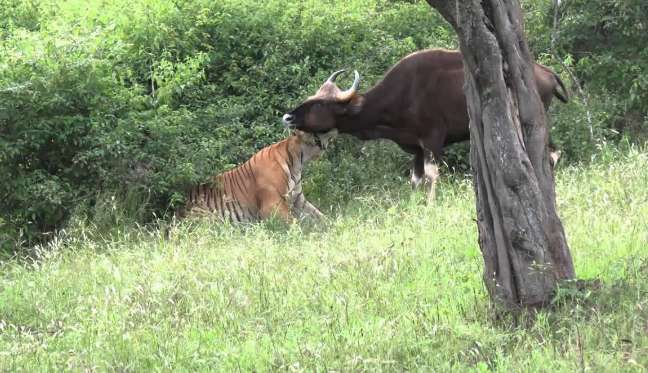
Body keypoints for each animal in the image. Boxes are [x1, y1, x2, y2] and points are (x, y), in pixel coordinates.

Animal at [280, 49, 564, 201]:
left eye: (319, 104)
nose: (288, 117)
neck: (400, 97)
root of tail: (546, 73)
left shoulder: (432, 140)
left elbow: (432, 174)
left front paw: (430, 203)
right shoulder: (415, 148)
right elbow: (415, 179)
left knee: (551, 152)